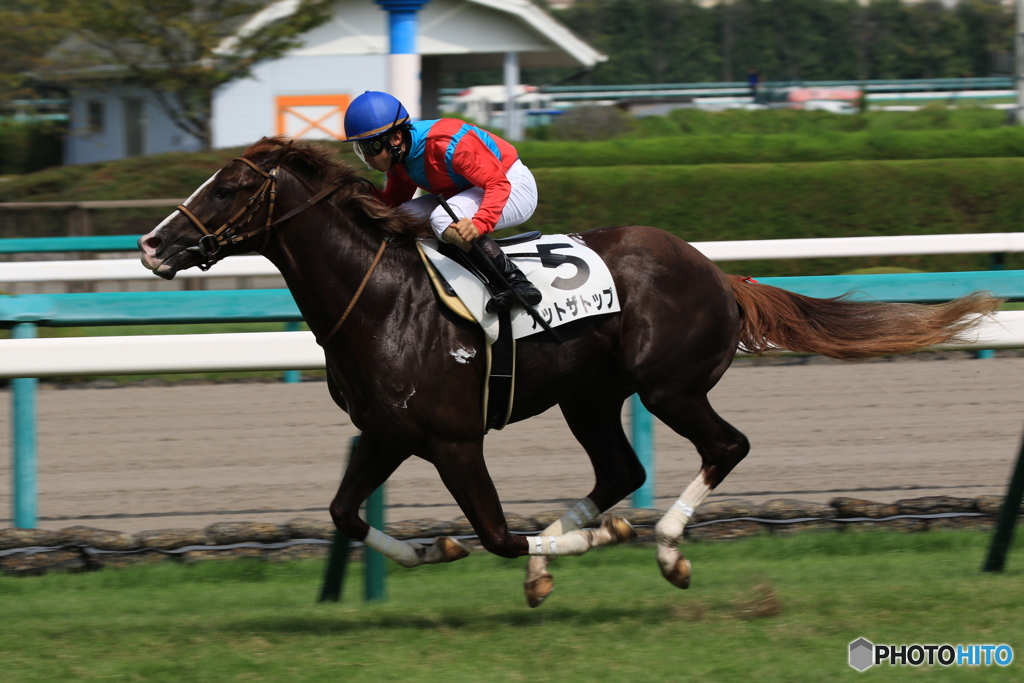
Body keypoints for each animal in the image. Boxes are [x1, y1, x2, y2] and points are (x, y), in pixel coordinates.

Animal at [139, 136, 1001, 607]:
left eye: (231, 186)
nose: (153, 245)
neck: (381, 300)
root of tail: (718, 273)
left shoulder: (454, 440)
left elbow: (495, 534)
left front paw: (575, 547)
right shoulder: (387, 433)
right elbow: (347, 513)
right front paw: (435, 550)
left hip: (668, 384)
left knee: (723, 448)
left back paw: (665, 546)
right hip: (590, 397)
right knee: (620, 468)